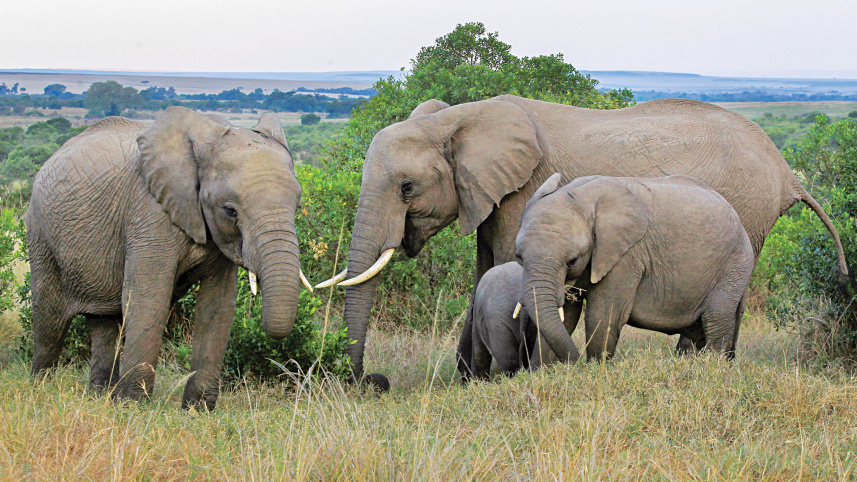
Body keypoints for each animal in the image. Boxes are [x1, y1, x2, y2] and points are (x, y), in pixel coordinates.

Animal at [28, 107, 313, 409]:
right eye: (230, 211)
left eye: (297, 206)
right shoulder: (150, 211)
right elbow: (148, 298)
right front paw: (133, 408)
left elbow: (217, 306)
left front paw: (197, 411)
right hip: (40, 234)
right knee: (50, 322)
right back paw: (40, 390)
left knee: (105, 323)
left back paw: (100, 397)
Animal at [516, 173, 754, 361]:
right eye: (519, 257)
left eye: (572, 260)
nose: (575, 364)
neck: (581, 194)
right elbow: (566, 315)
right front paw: (543, 372)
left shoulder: (626, 256)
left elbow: (603, 315)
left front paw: (595, 371)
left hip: (735, 264)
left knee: (716, 321)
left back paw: (713, 367)